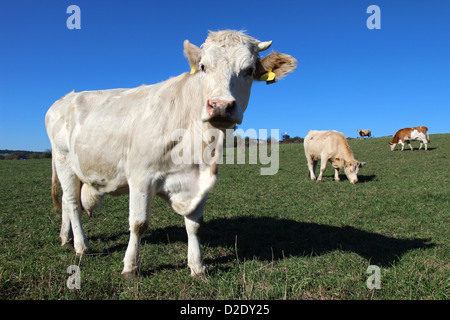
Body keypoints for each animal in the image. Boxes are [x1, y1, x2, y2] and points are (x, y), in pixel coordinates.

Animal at [45, 30, 298, 280]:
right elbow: (138, 224)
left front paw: (197, 266)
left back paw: (66, 238)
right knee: (71, 203)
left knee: (67, 202)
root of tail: (65, 98)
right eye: (203, 66)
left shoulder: (199, 181)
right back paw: (81, 246)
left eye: (249, 71)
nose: (220, 106)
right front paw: (131, 267)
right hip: (63, 158)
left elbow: (195, 225)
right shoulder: (141, 176)